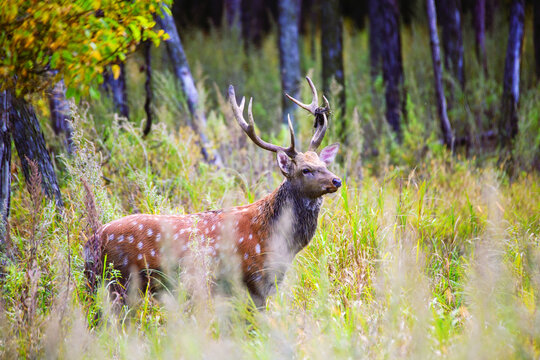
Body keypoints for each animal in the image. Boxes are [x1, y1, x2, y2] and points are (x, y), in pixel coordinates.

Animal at [82, 77, 340, 308]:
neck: (280, 241)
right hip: (119, 282)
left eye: (324, 164)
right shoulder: (254, 279)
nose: (336, 180)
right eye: (306, 170)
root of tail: (90, 242)